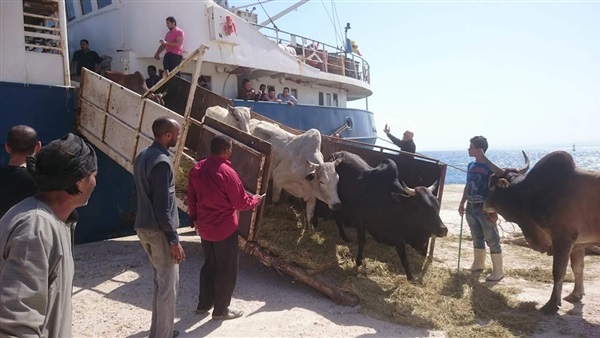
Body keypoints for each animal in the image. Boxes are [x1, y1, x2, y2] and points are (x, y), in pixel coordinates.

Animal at [328, 152, 450, 282]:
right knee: (337, 217)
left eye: (437, 205)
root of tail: (337, 153)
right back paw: (344, 237)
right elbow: (362, 242)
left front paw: (410, 277)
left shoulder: (397, 234)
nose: (443, 229)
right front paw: (358, 262)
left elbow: (404, 257)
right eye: (420, 207)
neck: (391, 204)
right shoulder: (361, 223)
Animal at [482, 152, 600, 316]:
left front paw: (551, 304)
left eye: (491, 184)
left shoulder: (562, 239)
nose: (484, 206)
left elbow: (558, 271)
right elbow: (578, 267)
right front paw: (576, 294)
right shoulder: (579, 244)